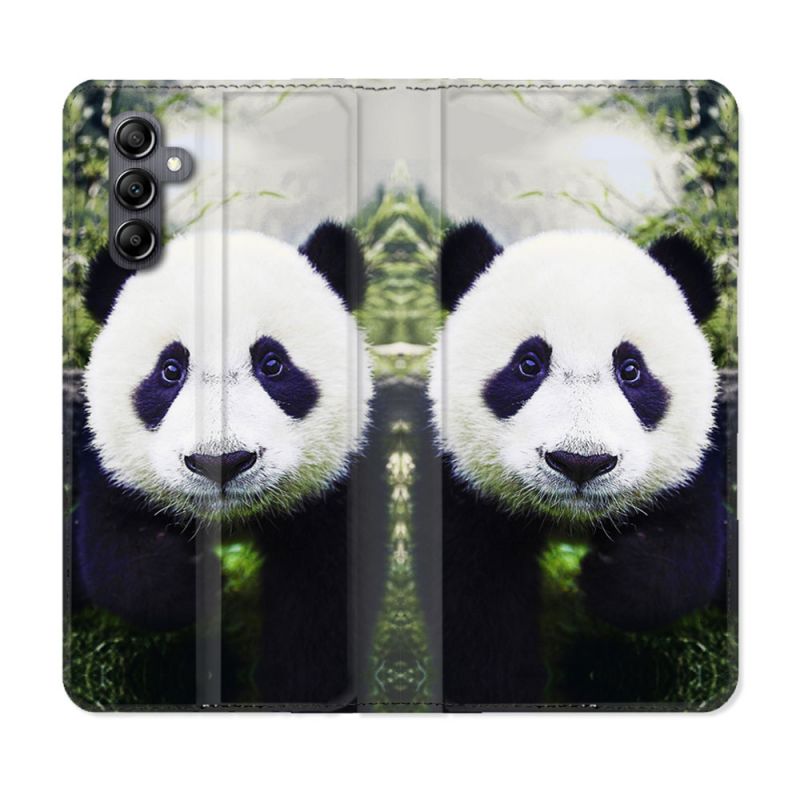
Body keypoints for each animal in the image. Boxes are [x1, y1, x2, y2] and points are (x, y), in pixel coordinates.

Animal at [73, 222, 372, 707]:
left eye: (272, 363)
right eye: (170, 370)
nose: (222, 463)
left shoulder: (335, 491)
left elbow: (321, 603)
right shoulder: (110, 469)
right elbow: (118, 558)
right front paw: (195, 584)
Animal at [428, 222, 727, 708]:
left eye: (631, 369)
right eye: (528, 364)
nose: (580, 463)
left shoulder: (691, 466)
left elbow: (687, 550)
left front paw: (609, 579)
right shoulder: (462, 488)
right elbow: (474, 605)